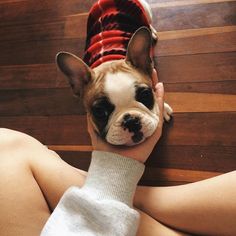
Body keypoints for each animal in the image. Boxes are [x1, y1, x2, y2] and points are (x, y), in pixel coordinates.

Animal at [56, 0, 172, 146]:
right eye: (100, 112)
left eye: (146, 95)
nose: (131, 121)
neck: (109, 61)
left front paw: (164, 109)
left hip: (146, 8)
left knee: (149, 21)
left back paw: (152, 32)